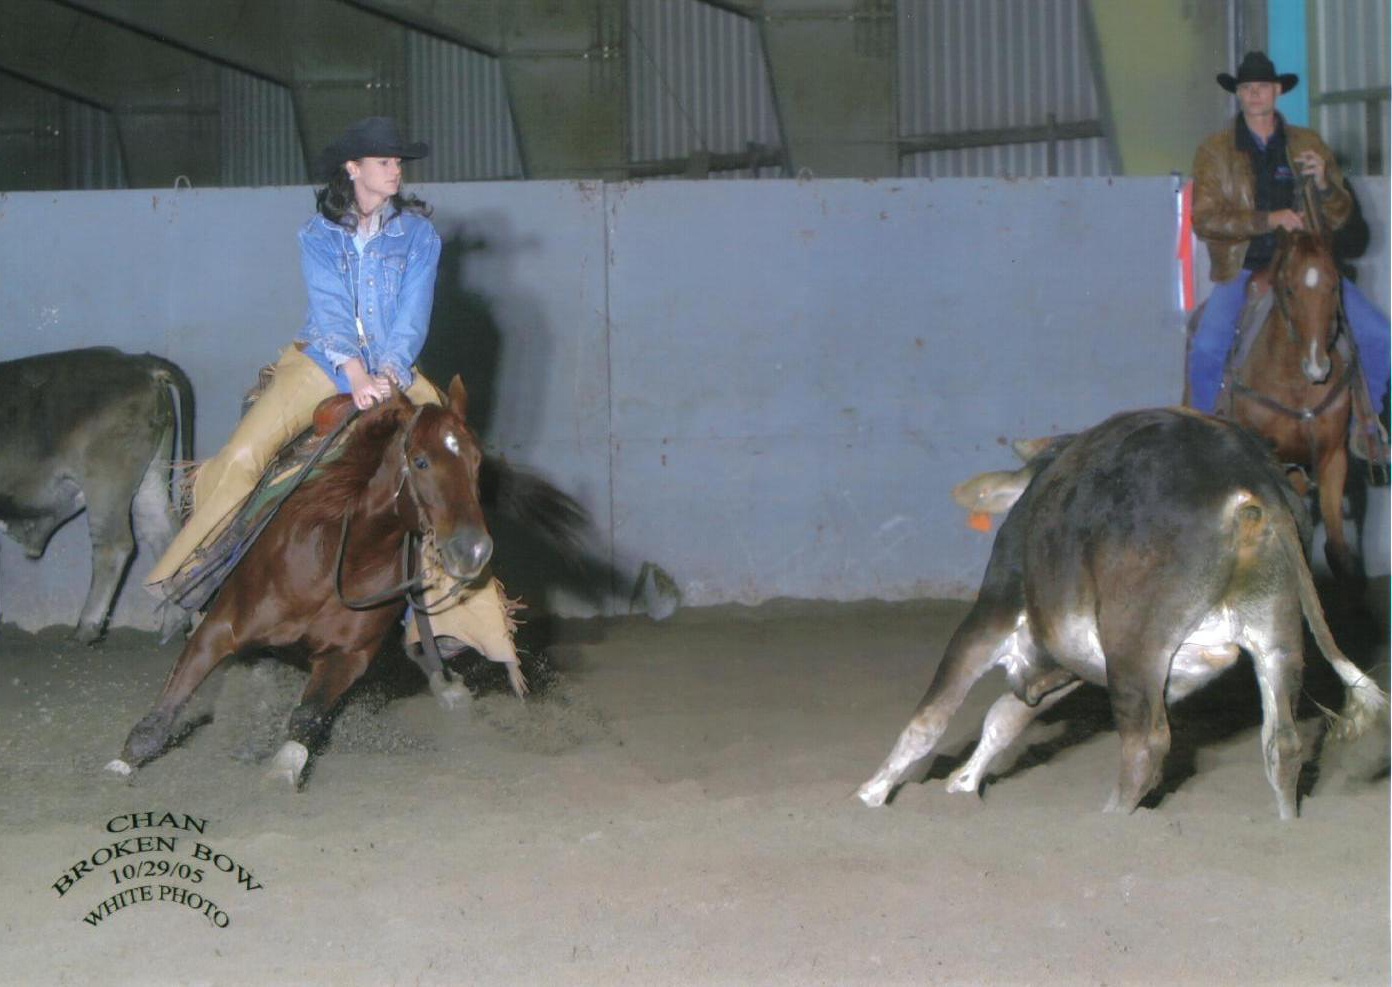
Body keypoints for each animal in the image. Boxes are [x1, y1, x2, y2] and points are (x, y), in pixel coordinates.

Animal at [0, 347, 193, 644]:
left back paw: (85, 628)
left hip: (106, 483)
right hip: (150, 479)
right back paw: (172, 625)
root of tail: (137, 361)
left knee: (113, 546)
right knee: (164, 535)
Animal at [106, 377, 510, 788]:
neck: (339, 562)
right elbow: (168, 705)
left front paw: (282, 771)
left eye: (476, 462)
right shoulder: (220, 627)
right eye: (421, 461)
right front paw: (120, 765)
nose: (474, 549)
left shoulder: (348, 656)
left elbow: (307, 716)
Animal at [858, 407, 1386, 820]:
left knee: (1145, 745)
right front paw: (963, 783)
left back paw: (1110, 824)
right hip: (1277, 635)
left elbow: (931, 719)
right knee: (1283, 743)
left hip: (1136, 642)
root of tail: (1254, 486)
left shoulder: (993, 615)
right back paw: (1285, 822)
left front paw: (871, 793)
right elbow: (1005, 717)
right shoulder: (1064, 664)